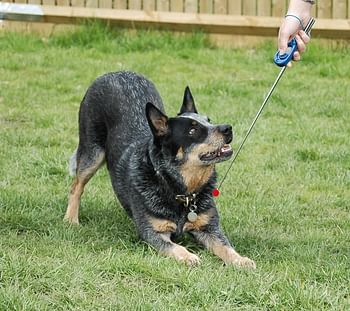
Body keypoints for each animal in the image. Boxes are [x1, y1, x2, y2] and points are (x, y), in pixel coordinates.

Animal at [65, 70, 256, 268]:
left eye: (208, 121)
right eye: (192, 131)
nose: (228, 128)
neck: (180, 189)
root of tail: (114, 73)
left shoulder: (209, 227)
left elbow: (225, 246)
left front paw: (241, 260)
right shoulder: (152, 232)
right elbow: (175, 247)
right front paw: (189, 256)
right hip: (92, 152)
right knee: (76, 186)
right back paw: (71, 219)